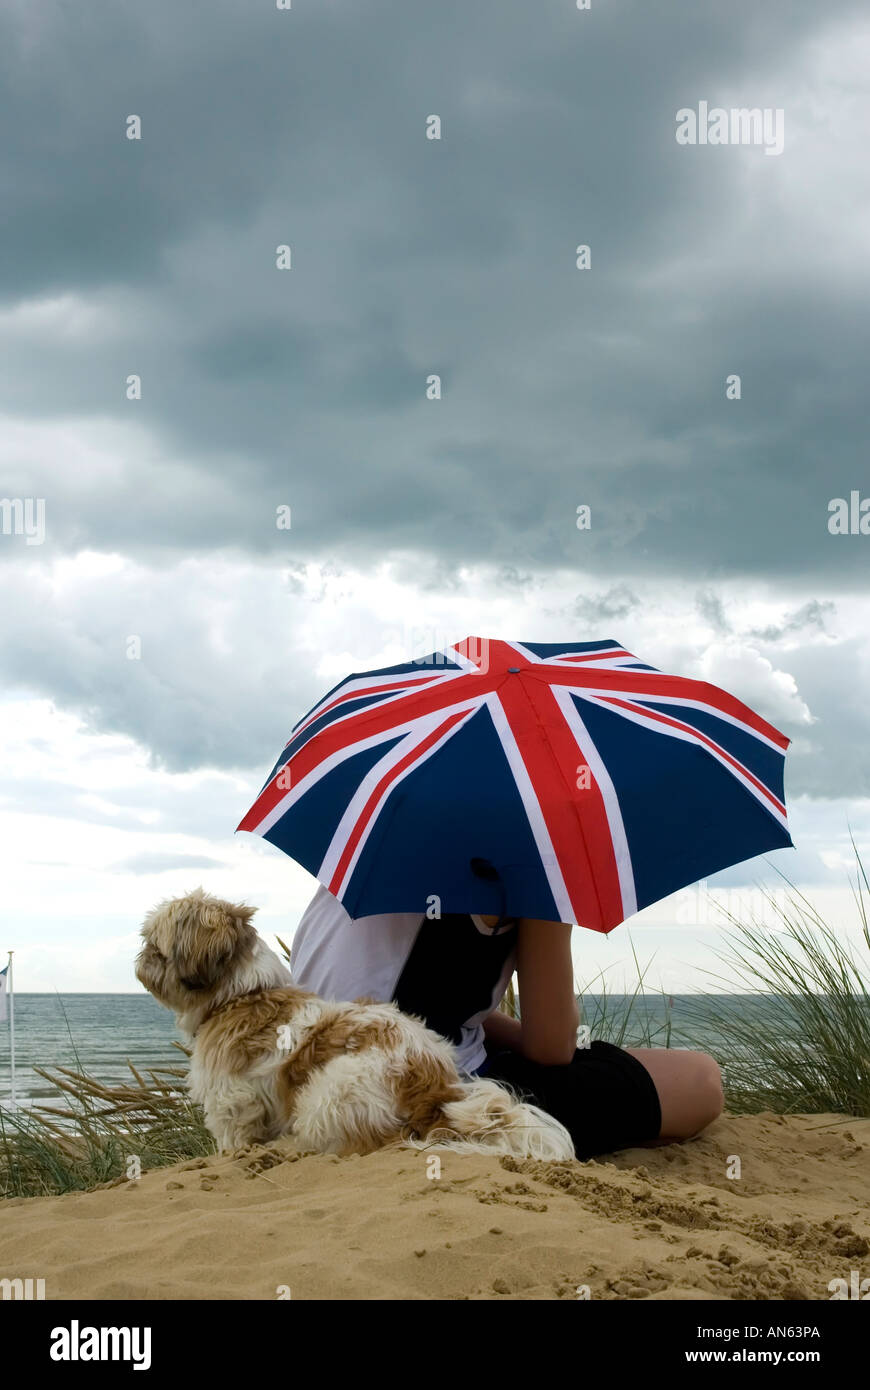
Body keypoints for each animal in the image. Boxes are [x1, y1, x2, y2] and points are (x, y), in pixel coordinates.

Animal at [135, 889, 572, 1162]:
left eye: (155, 947)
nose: (141, 960)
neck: (243, 993)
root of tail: (433, 1092)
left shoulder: (233, 1101)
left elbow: (233, 1136)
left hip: (326, 1092)